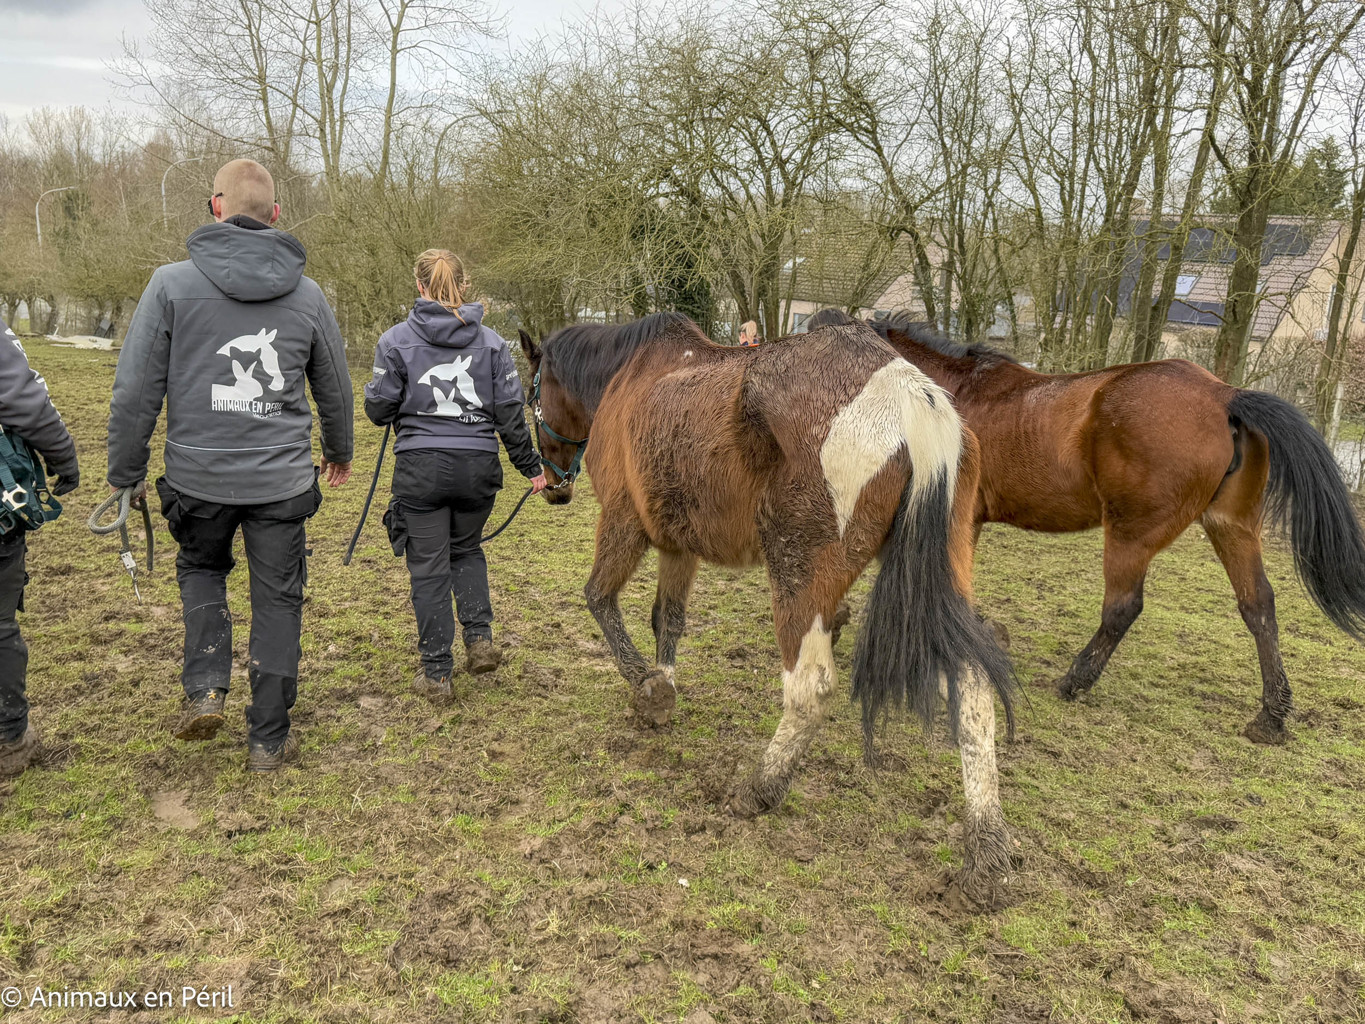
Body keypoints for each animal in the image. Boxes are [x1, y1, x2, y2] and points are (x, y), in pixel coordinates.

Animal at [518, 312, 1018, 904]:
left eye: (531, 395)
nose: (551, 487)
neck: (633, 373)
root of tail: (907, 396)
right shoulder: (677, 544)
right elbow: (668, 618)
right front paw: (662, 685)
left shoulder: (624, 520)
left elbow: (599, 598)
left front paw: (645, 682)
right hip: (939, 577)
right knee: (971, 685)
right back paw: (986, 847)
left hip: (798, 579)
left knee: (810, 688)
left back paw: (761, 787)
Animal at [809, 309, 1365, 744]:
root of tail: (1225, 394)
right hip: (1231, 526)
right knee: (1258, 606)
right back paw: (1271, 715)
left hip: (1131, 534)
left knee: (1123, 607)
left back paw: (1075, 680)